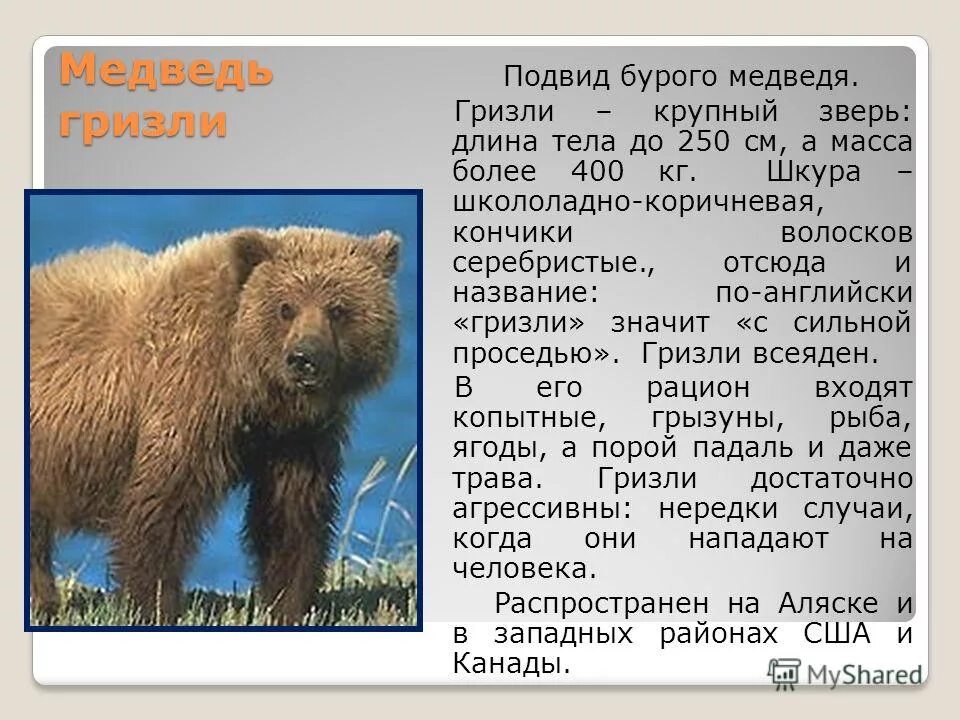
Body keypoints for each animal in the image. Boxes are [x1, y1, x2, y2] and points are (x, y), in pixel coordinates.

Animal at [29, 226, 401, 624]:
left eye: (338, 309)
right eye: (286, 307)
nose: (304, 358)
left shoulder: (296, 437)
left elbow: (291, 515)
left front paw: (290, 604)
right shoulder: (187, 398)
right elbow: (160, 505)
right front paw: (153, 604)